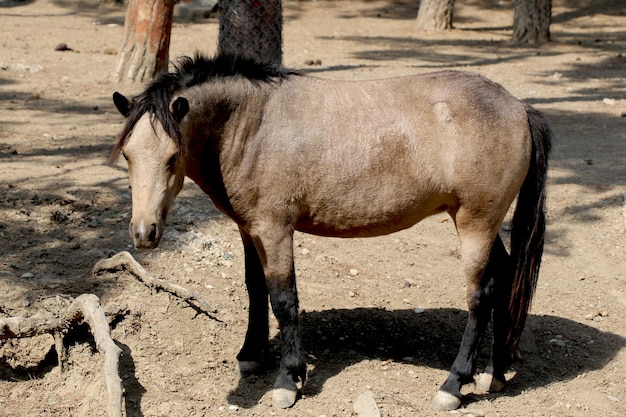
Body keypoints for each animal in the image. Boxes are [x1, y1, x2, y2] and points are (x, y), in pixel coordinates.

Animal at [112, 52, 552, 410]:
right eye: (128, 155)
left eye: (173, 156)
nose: (144, 232)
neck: (254, 123)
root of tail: (519, 108)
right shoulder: (249, 229)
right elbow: (255, 288)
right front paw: (251, 354)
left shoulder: (275, 229)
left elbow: (283, 299)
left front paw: (287, 379)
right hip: (483, 225)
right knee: (505, 278)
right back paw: (494, 372)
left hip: (476, 223)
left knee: (481, 296)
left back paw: (453, 385)